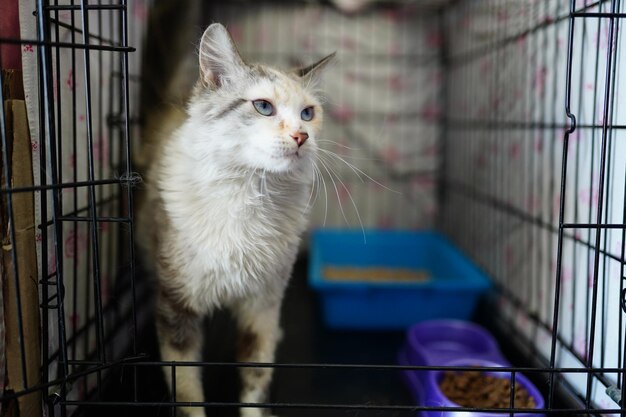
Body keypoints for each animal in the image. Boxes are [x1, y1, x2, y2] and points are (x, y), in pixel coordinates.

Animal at [135, 23, 332, 416]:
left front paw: (254, 410)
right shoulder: (177, 308)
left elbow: (256, 378)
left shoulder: (262, 307)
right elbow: (187, 389)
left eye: (307, 113)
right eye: (263, 107)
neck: (250, 193)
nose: (302, 137)